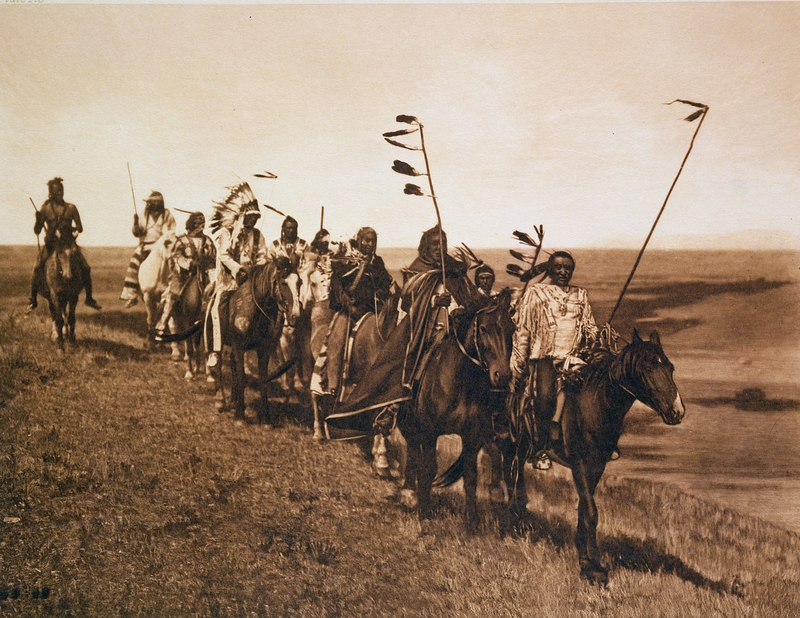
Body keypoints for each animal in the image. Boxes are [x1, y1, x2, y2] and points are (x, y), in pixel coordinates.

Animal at [212, 256, 300, 424]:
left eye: (300, 283)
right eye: (283, 283)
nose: (295, 315)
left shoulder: (264, 348)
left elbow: (263, 380)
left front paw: (266, 419)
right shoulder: (239, 346)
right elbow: (242, 378)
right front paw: (240, 417)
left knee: (231, 364)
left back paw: (233, 402)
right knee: (217, 365)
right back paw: (221, 400)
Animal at [398, 290, 516, 528]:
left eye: (512, 329)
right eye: (484, 328)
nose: (502, 376)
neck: (461, 382)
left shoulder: (472, 437)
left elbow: (471, 478)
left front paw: (473, 522)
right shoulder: (430, 430)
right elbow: (429, 468)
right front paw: (425, 514)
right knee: (412, 446)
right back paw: (409, 494)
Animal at [500, 328, 680, 584]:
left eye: (670, 367)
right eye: (647, 368)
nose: (677, 412)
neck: (595, 404)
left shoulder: (596, 466)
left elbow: (583, 510)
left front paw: (585, 560)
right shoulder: (579, 465)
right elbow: (592, 513)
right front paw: (596, 565)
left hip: (519, 448)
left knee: (514, 479)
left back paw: (519, 521)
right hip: (509, 443)